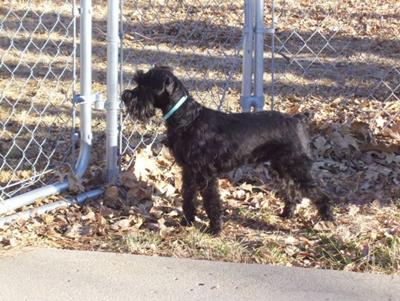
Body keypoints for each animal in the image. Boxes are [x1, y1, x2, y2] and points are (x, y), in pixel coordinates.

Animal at [121, 66, 332, 234]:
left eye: (144, 85)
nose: (125, 96)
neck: (187, 117)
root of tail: (298, 118)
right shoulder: (189, 171)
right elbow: (188, 197)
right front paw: (187, 221)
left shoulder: (205, 174)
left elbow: (211, 201)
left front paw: (215, 229)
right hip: (282, 167)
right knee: (292, 192)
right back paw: (287, 214)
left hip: (297, 166)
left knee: (318, 191)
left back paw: (327, 218)